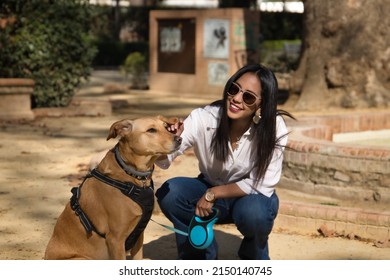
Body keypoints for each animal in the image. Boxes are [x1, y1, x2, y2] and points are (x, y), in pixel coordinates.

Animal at [45, 115, 182, 260]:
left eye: (166, 127)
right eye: (151, 130)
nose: (179, 139)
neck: (131, 174)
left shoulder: (139, 236)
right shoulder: (115, 239)